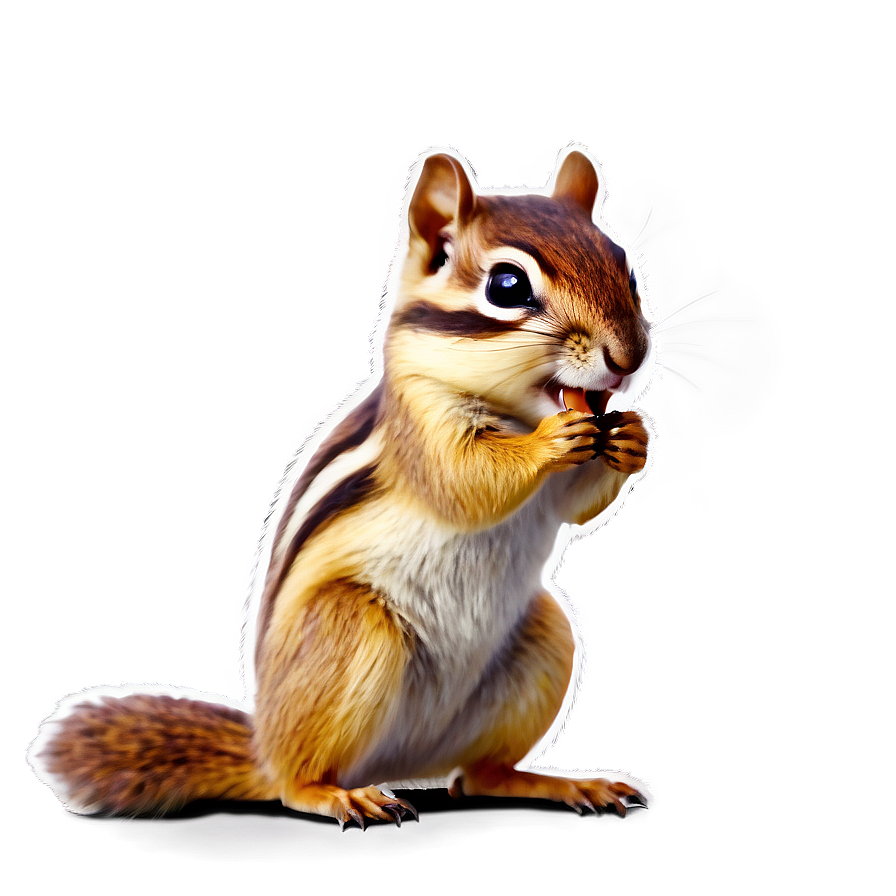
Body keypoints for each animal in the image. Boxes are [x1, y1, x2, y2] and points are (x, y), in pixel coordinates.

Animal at [28, 144, 657, 828]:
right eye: (507, 285)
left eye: (627, 269)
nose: (629, 358)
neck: (519, 412)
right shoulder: (422, 428)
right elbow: (466, 482)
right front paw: (547, 444)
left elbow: (575, 507)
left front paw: (634, 438)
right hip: (352, 627)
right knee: (296, 784)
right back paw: (337, 795)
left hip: (544, 639)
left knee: (479, 778)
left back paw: (561, 784)